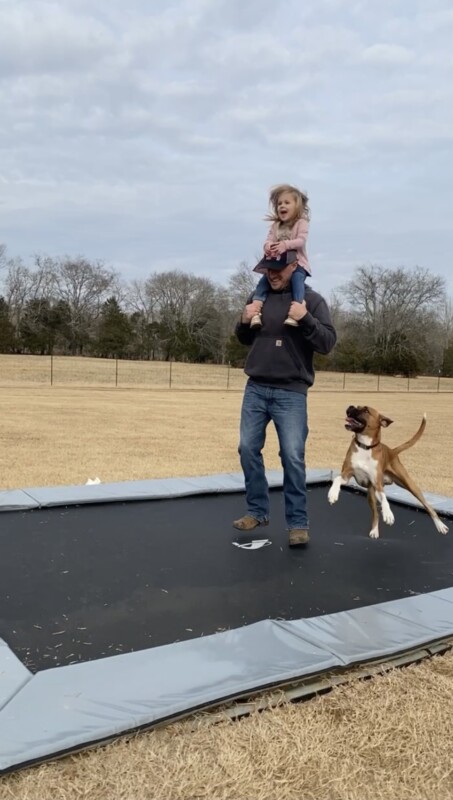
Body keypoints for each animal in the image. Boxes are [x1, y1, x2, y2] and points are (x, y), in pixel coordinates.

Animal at [328, 405, 449, 539]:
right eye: (356, 406)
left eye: (366, 410)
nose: (350, 406)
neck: (365, 447)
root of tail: (392, 451)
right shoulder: (347, 475)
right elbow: (337, 479)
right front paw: (333, 494)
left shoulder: (378, 484)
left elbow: (385, 499)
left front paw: (388, 514)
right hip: (371, 494)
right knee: (375, 513)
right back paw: (375, 530)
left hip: (409, 485)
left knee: (428, 506)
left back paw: (440, 525)